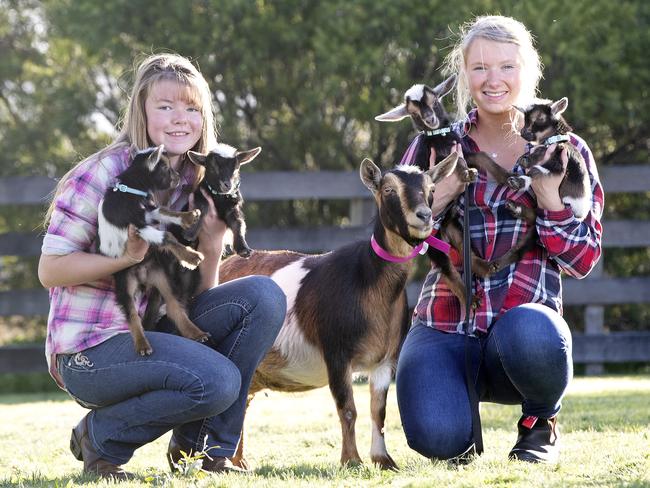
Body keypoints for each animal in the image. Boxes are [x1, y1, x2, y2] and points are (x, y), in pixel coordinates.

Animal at [97, 145, 209, 354]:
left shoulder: (148, 213)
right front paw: (191, 257)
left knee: (174, 306)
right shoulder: (138, 225)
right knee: (132, 315)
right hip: (125, 284)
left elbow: (163, 211)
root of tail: (142, 276)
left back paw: (196, 333)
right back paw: (142, 345)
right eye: (164, 167)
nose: (178, 177)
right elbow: (167, 236)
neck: (131, 189)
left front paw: (189, 216)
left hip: (161, 277)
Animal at [216, 152, 456, 468]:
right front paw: (351, 461)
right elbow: (348, 409)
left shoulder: (385, 361)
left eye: (432, 189)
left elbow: (378, 411)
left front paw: (383, 459)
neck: (367, 280)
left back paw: (238, 461)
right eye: (388, 190)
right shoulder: (337, 353)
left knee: (242, 401)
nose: (424, 216)